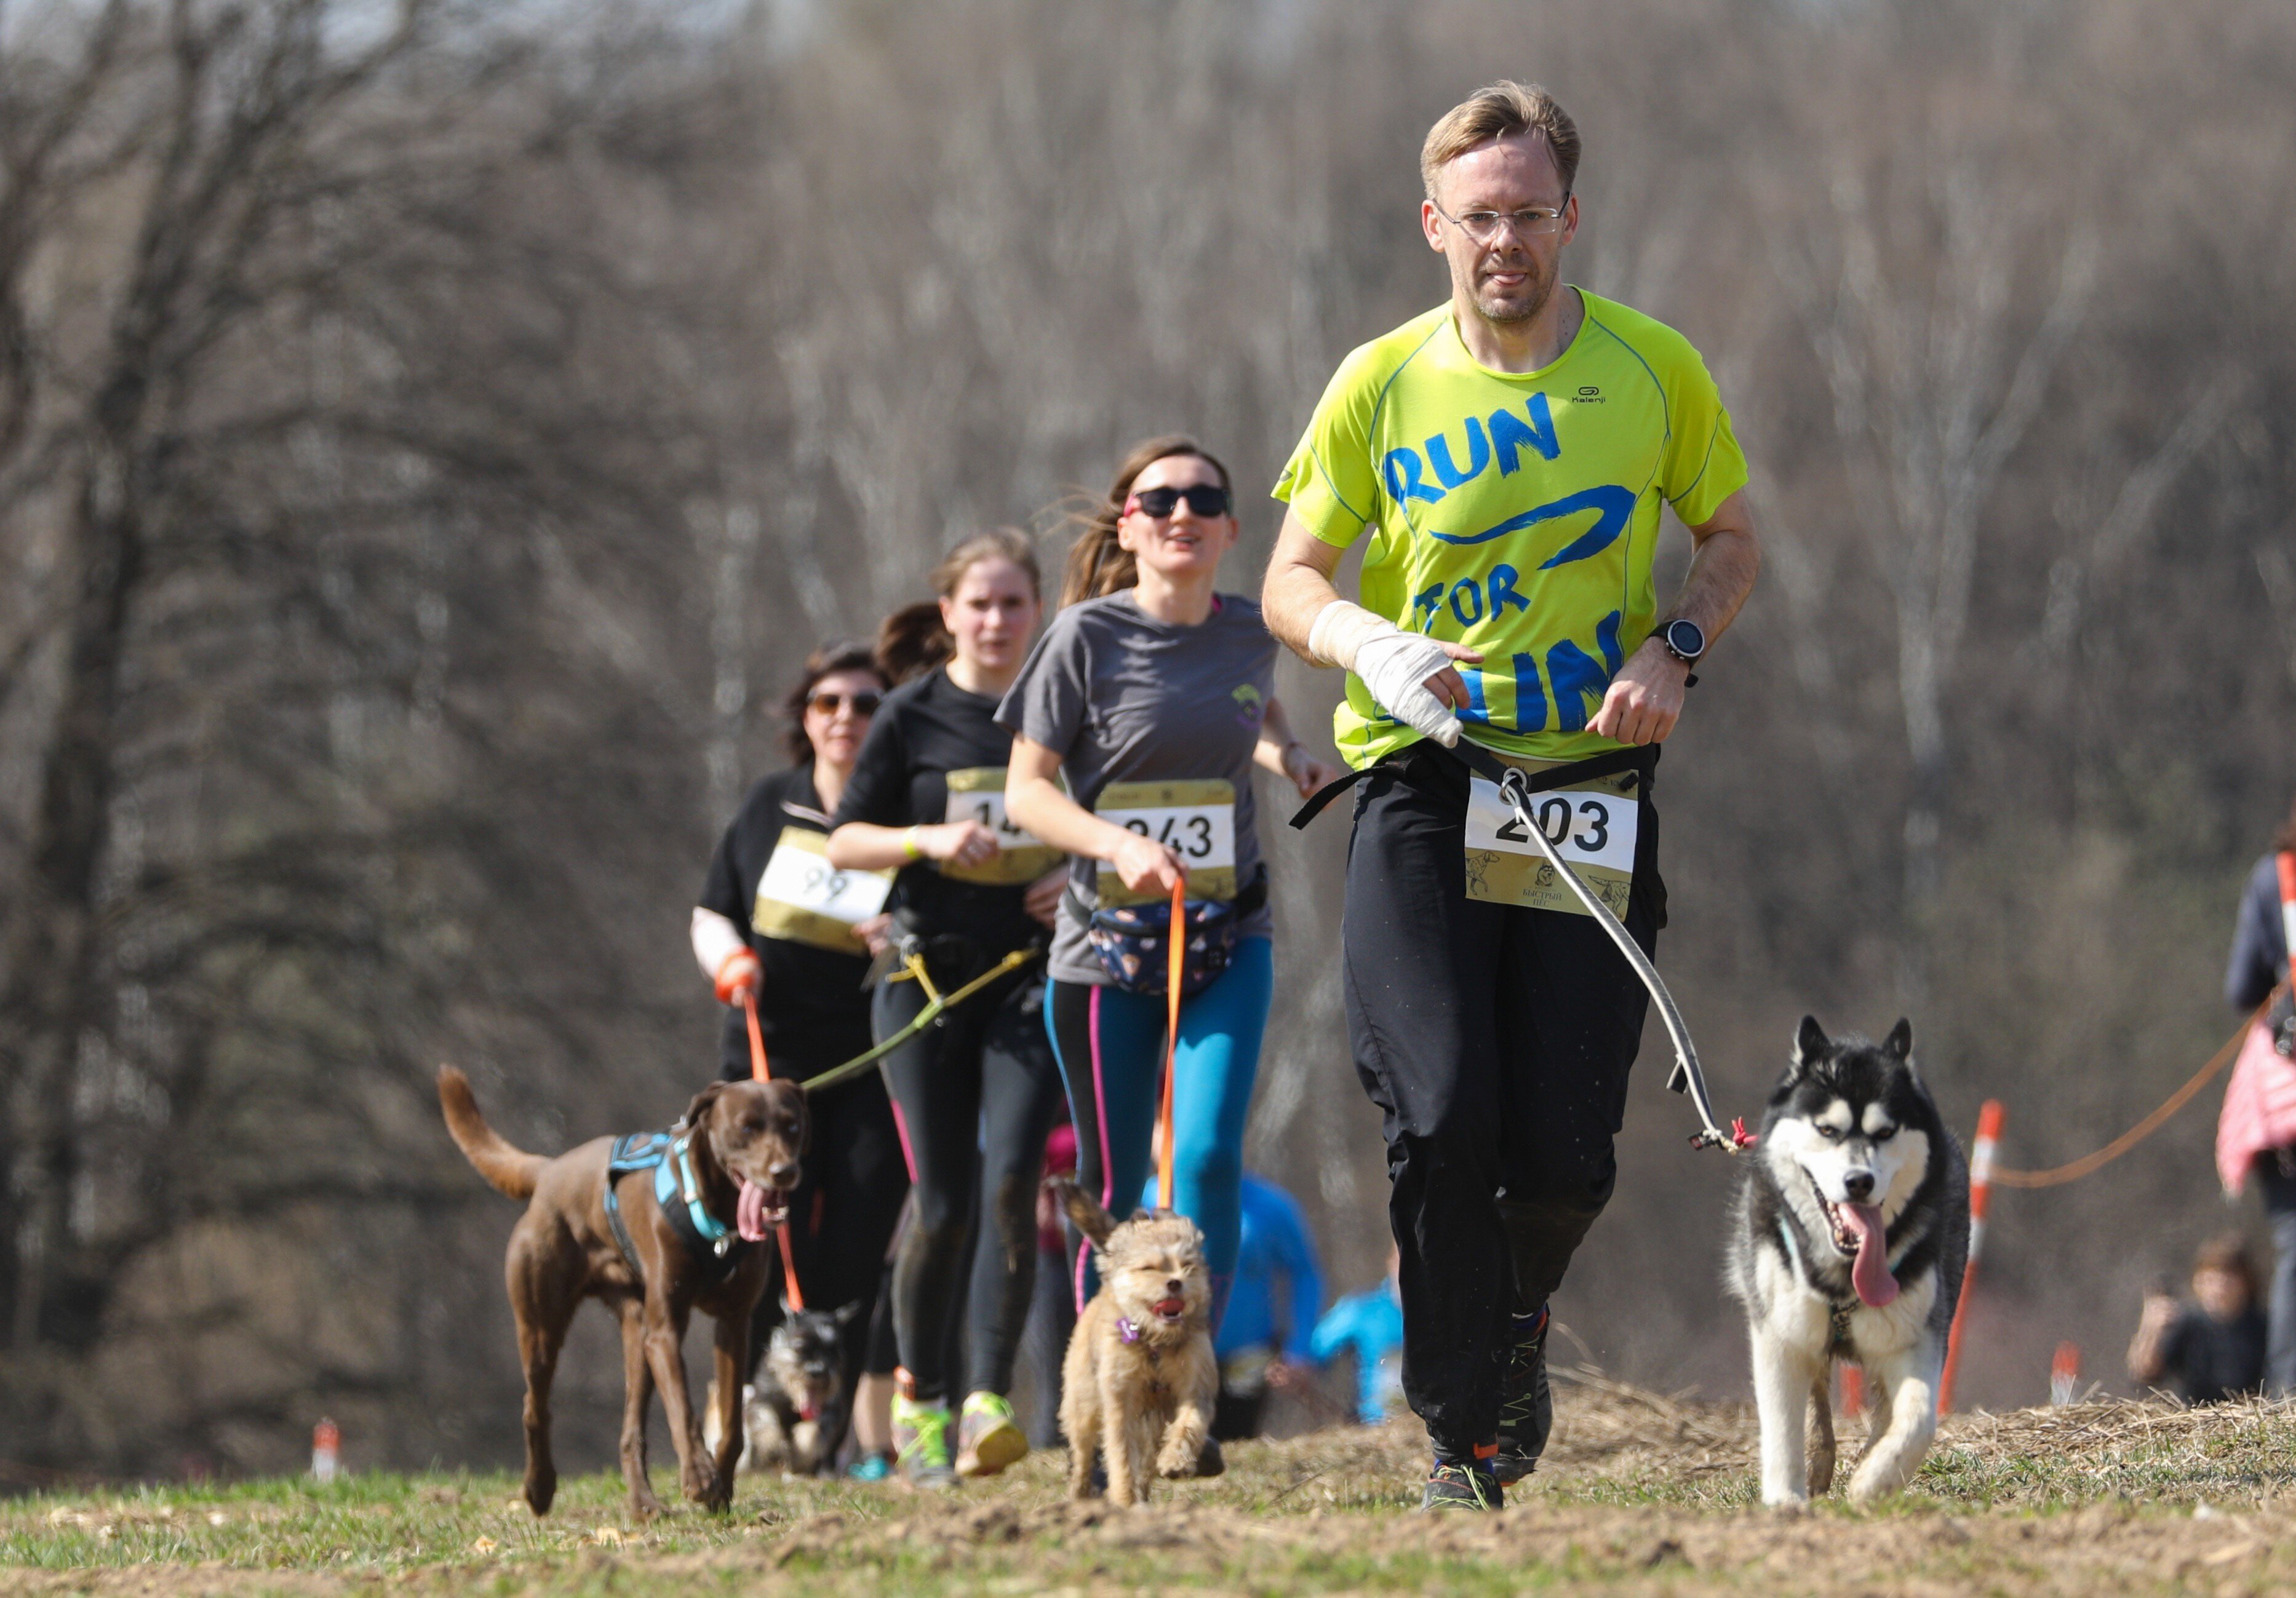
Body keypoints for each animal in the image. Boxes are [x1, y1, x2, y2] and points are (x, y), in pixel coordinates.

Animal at [434, 1065, 803, 1515]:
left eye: (792, 1125)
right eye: (747, 1127)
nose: (784, 1171)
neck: (717, 1214)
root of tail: (549, 1171)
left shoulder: (733, 1323)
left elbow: (732, 1421)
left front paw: (722, 1492)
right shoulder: (665, 1331)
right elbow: (683, 1410)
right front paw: (700, 1479)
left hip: (636, 1334)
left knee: (630, 1433)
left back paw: (644, 1505)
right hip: (541, 1324)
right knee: (534, 1406)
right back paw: (539, 1487)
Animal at [1051, 1175, 1221, 1506]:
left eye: (1187, 1266)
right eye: (1149, 1268)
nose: (1175, 1283)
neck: (1155, 1342)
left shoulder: (1194, 1384)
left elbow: (1189, 1423)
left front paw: (1175, 1460)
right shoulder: (1120, 1399)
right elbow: (1120, 1453)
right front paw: (1124, 1499)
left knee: (1145, 1459)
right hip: (1083, 1401)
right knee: (1083, 1451)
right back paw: (1080, 1493)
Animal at [1726, 1019, 1965, 1506]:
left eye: (1886, 1132)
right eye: (1827, 1130)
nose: (1859, 1182)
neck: (1843, 1276)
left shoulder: (1916, 1336)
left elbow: (1918, 1419)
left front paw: (1876, 1478)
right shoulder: (1778, 1333)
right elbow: (1781, 1423)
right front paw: (1785, 1498)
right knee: (1817, 1393)